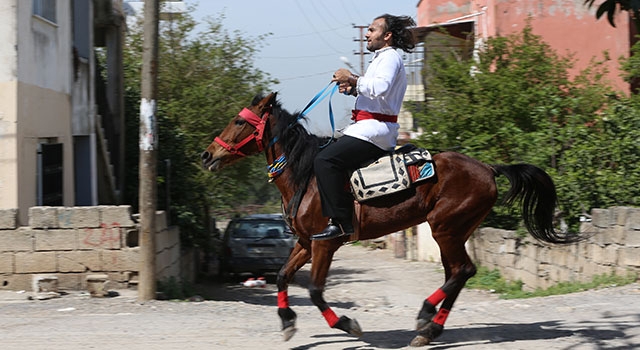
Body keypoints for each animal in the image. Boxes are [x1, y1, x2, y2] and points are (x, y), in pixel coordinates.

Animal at [201, 91, 580, 346]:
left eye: (239, 121)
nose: (207, 154)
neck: (305, 177)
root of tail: (488, 168)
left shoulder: (326, 244)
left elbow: (316, 292)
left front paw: (347, 324)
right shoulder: (305, 243)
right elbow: (281, 276)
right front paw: (287, 322)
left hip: (445, 228)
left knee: (462, 270)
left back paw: (425, 316)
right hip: (453, 231)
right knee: (457, 273)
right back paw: (429, 330)